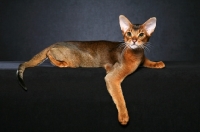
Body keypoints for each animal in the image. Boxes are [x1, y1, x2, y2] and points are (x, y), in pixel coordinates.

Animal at [16, 15, 164, 125]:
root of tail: (55, 43)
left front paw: (157, 63)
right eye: (128, 33)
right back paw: (60, 63)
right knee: (49, 53)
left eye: (141, 35)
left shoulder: (141, 58)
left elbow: (147, 61)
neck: (136, 54)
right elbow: (120, 97)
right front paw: (123, 116)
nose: (133, 41)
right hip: (73, 60)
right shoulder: (112, 77)